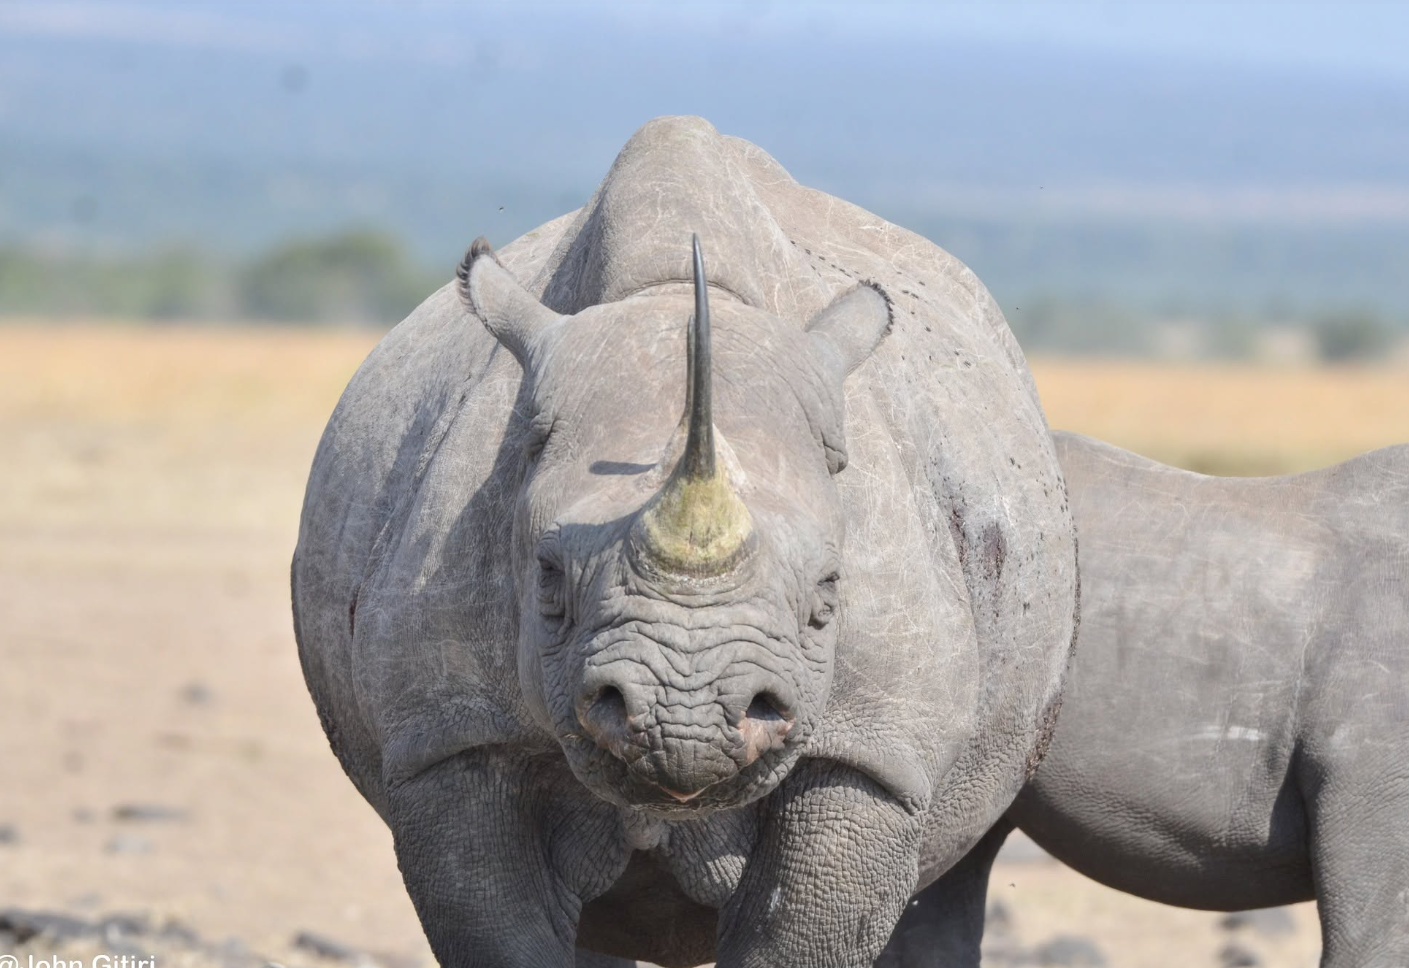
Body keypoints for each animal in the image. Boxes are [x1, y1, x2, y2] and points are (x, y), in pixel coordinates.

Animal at [291, 116, 1078, 967]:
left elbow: (800, 934)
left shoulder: (872, 753)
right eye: (546, 578)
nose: (684, 722)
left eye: (828, 595)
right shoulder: (449, 735)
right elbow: (498, 929)